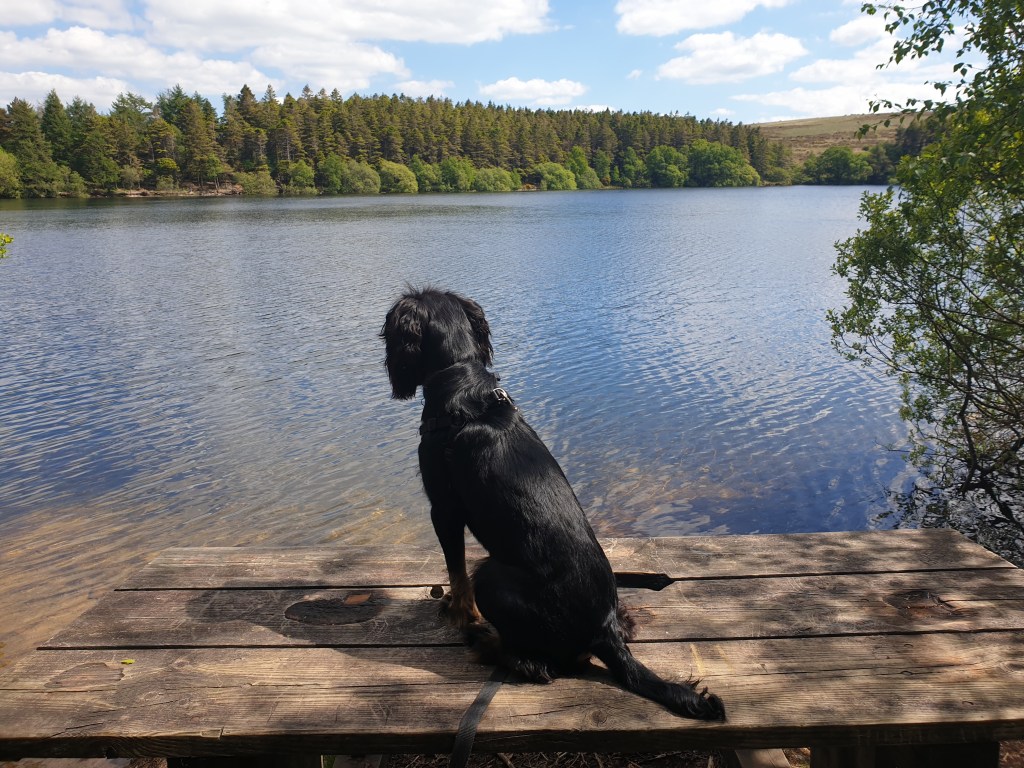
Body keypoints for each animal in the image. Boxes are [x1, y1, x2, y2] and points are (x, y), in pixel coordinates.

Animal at [381, 287, 724, 720]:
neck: (462, 388)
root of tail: (603, 633)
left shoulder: (443, 509)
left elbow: (457, 574)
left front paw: (461, 616)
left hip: (492, 574)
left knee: (544, 664)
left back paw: (491, 644)